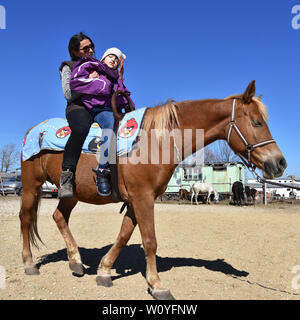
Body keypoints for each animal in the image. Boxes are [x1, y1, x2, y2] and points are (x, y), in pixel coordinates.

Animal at [18, 80, 286, 300]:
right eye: (257, 122)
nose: (280, 163)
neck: (156, 140)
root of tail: (34, 130)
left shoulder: (136, 200)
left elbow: (124, 235)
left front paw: (104, 271)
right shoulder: (143, 198)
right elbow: (150, 241)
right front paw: (157, 285)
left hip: (71, 193)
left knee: (59, 217)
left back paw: (75, 262)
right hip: (31, 185)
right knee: (26, 218)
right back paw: (29, 263)